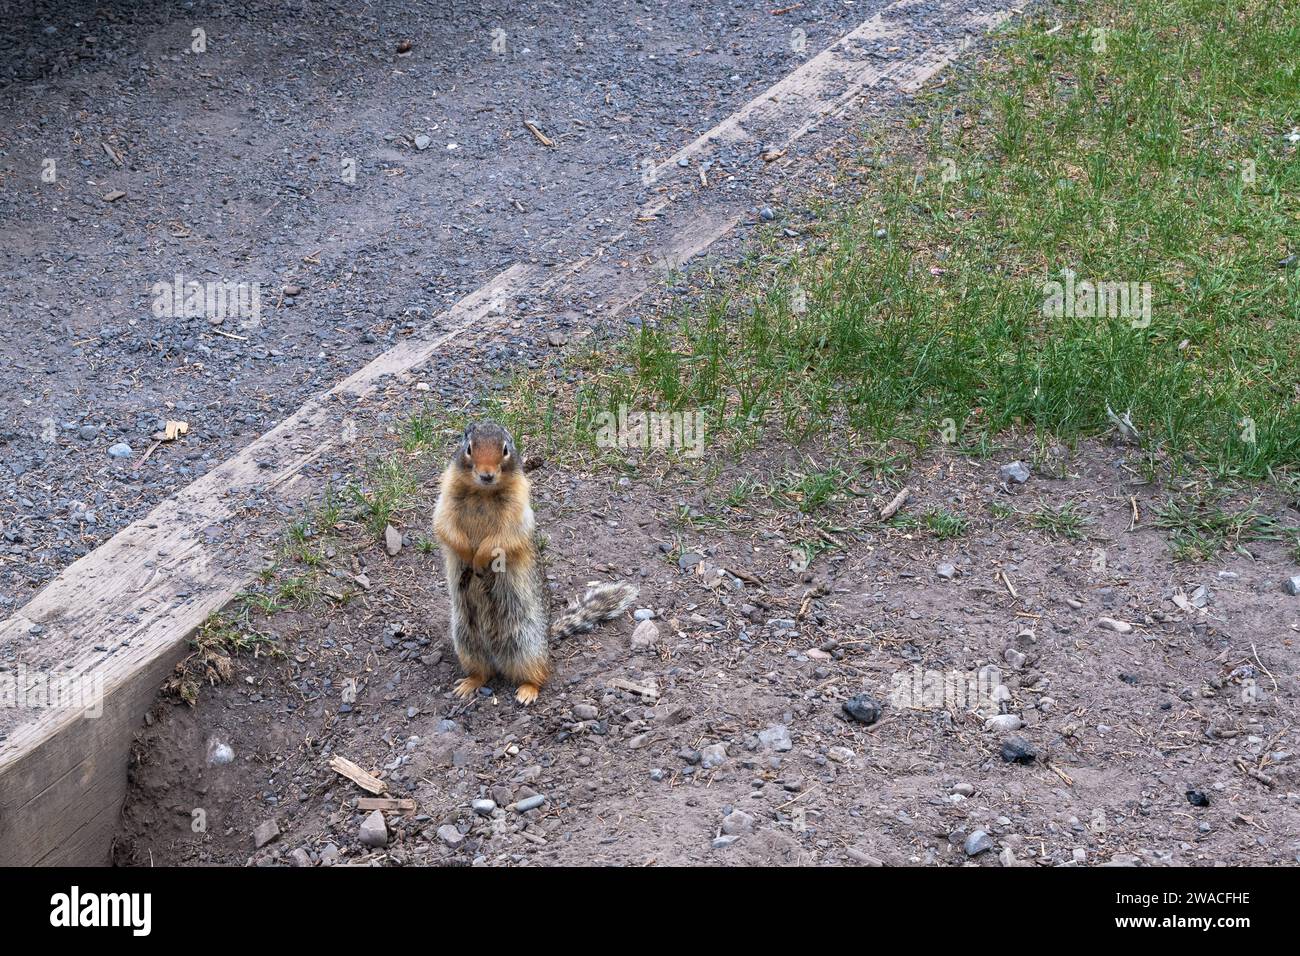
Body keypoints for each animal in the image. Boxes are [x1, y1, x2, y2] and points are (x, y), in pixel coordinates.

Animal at [436, 421, 639, 707]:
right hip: (466, 640)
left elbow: (503, 538)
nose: (487, 475)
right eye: (469, 448)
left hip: (526, 644)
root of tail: (546, 636)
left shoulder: (517, 507)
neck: (483, 493)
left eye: (505, 449)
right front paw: (466, 554)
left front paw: (480, 557)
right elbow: (446, 527)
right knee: (483, 672)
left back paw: (527, 692)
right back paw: (468, 685)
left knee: (540, 673)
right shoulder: (445, 496)